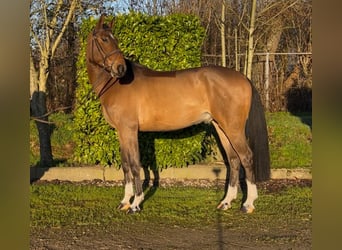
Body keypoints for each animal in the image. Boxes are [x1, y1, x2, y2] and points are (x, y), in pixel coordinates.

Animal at [86, 14, 270, 214]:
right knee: (234, 160)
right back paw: (226, 202)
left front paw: (135, 204)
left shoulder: (130, 130)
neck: (116, 86)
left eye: (114, 39)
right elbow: (126, 164)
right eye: (104, 39)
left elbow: (135, 164)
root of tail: (244, 78)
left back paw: (248, 204)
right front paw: (125, 201)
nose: (120, 68)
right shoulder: (121, 132)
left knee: (246, 157)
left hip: (233, 128)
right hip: (221, 127)